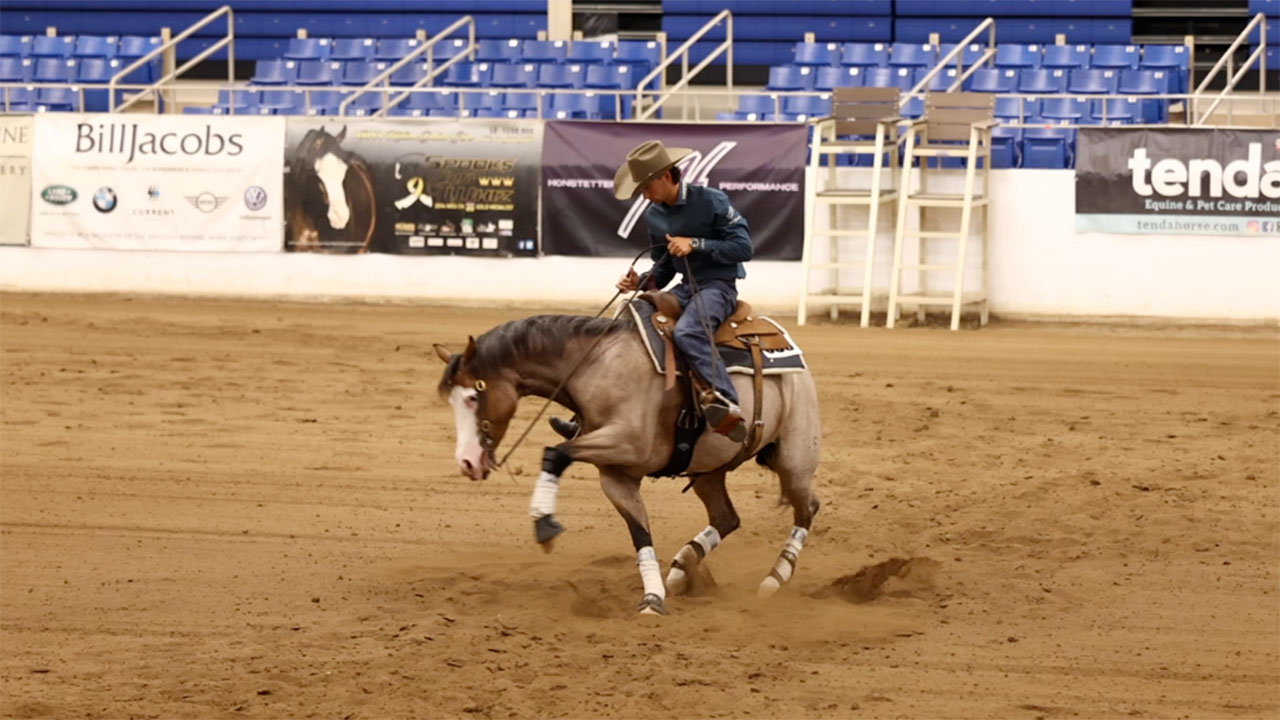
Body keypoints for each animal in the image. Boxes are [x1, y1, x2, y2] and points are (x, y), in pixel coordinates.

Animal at [433, 308, 822, 615]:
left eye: (472, 397)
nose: (467, 462)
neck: (596, 367)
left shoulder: (628, 444)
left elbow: (555, 453)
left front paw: (544, 523)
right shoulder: (616, 474)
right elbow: (640, 534)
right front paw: (653, 597)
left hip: (794, 459)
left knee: (807, 508)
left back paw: (774, 578)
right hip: (709, 470)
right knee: (727, 517)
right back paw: (681, 567)